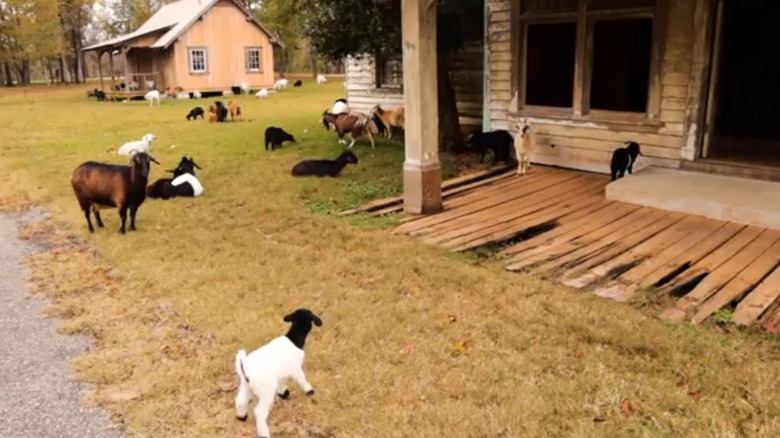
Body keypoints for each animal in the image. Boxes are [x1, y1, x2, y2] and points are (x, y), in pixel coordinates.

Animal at [234, 309, 322, 438]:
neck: (294, 340)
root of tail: (245, 367)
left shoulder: (282, 372)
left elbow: (282, 382)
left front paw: (284, 393)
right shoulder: (295, 368)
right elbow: (302, 379)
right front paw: (310, 391)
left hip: (246, 385)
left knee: (240, 401)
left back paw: (242, 416)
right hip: (266, 389)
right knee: (260, 411)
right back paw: (264, 433)